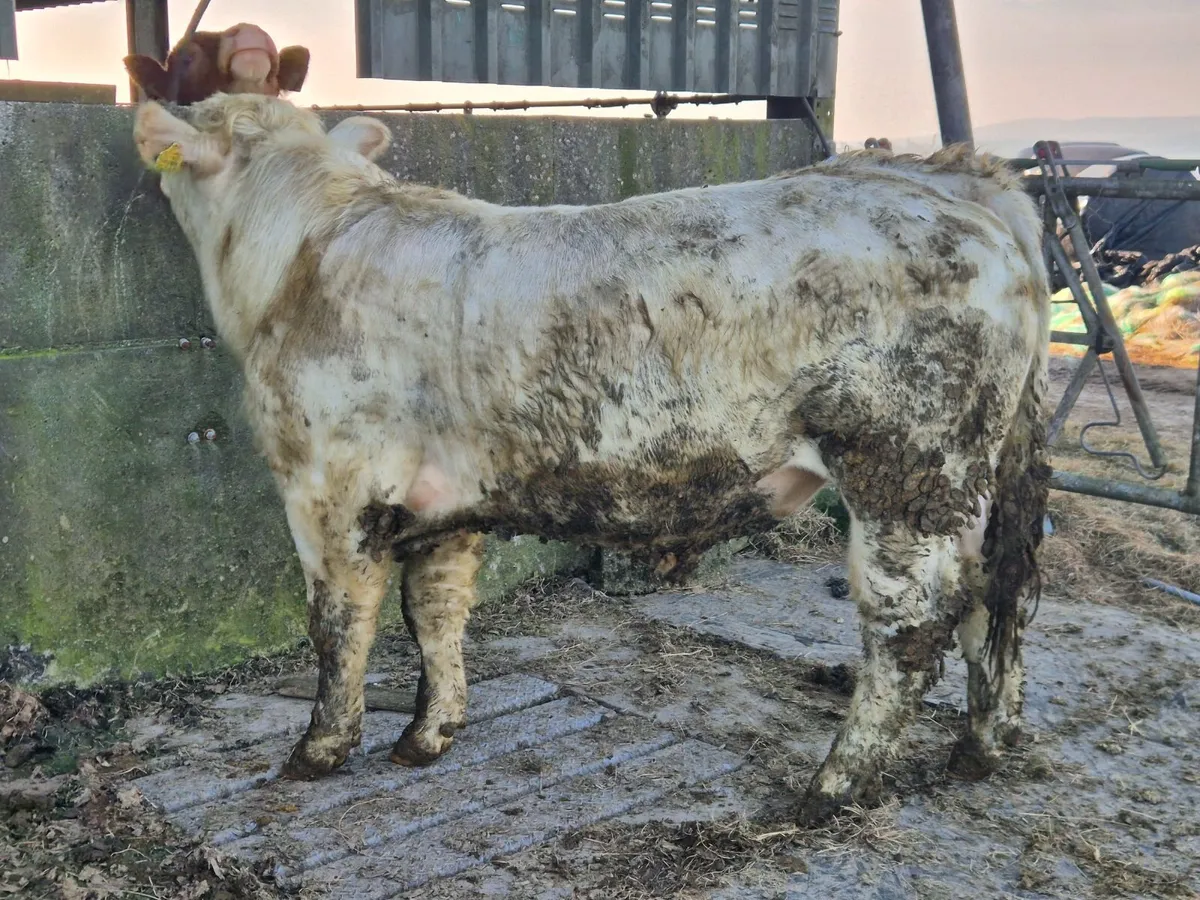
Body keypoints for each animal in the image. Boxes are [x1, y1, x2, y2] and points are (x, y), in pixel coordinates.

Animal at [131, 93, 1052, 824]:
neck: (305, 254)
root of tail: (949, 180)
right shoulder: (443, 502)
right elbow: (434, 615)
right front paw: (429, 733)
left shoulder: (328, 487)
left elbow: (337, 626)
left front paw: (319, 750)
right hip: (968, 484)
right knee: (990, 598)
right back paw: (980, 748)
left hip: (900, 468)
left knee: (909, 628)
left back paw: (831, 786)